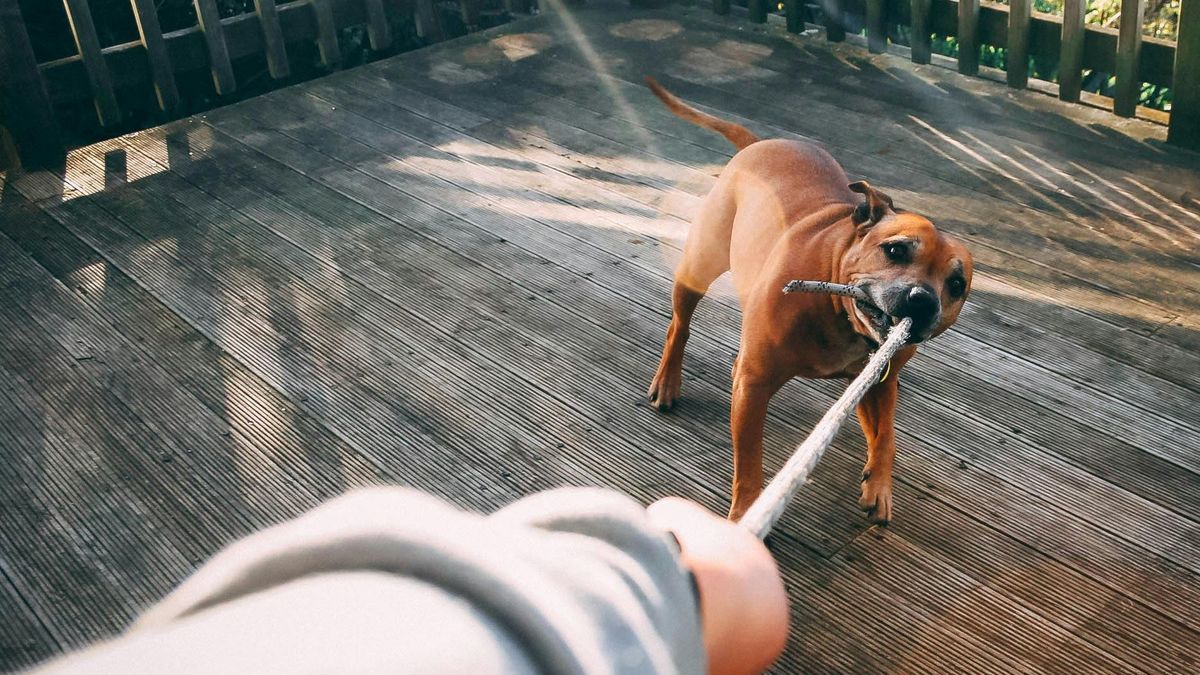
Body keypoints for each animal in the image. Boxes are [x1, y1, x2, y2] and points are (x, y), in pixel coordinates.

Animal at [643, 77, 969, 521]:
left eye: (957, 284)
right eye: (896, 249)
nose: (921, 301)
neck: (840, 317)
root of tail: (758, 143)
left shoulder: (877, 384)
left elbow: (886, 435)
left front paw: (879, 486)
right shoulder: (754, 385)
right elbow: (750, 461)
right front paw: (745, 515)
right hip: (699, 264)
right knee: (680, 324)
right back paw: (667, 381)